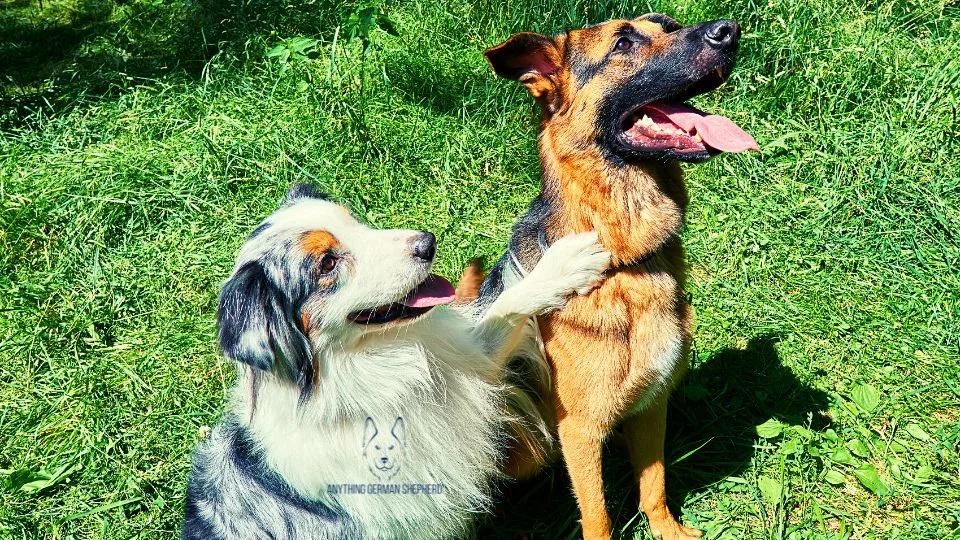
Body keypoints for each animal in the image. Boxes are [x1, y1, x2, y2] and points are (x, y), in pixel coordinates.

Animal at [472, 11, 756, 540]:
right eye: (622, 43)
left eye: (668, 25)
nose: (728, 30)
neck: (626, 262)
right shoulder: (580, 430)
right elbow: (599, 515)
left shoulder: (651, 405)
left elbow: (654, 483)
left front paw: (669, 530)